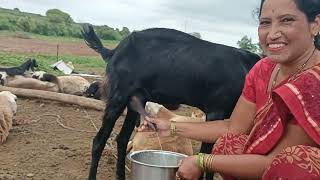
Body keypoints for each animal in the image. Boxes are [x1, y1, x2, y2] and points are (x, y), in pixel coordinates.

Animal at [81, 24, 262, 180]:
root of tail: (115, 51)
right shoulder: (215, 111)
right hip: (118, 96)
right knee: (99, 141)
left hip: (135, 100)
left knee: (122, 139)